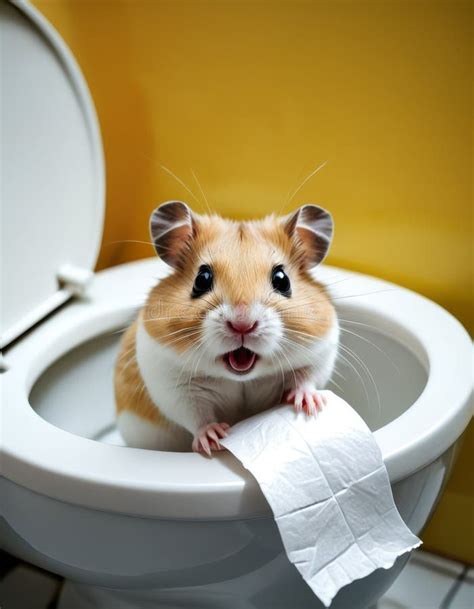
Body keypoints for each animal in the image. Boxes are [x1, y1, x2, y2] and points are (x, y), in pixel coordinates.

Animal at [114, 202, 336, 454]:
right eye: (201, 279)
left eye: (282, 280)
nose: (242, 324)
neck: (240, 378)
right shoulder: (172, 382)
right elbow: (196, 415)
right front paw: (213, 440)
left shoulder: (319, 354)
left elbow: (306, 378)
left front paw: (310, 406)